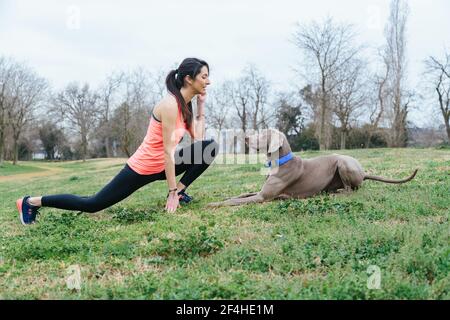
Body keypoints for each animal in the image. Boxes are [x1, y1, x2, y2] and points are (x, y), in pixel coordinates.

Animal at [207, 128, 418, 208]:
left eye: (263, 133)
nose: (245, 138)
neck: (280, 162)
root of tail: (364, 172)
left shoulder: (263, 197)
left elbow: (236, 201)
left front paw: (212, 204)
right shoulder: (259, 191)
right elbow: (240, 195)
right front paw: (223, 198)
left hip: (342, 162)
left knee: (350, 190)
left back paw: (335, 194)